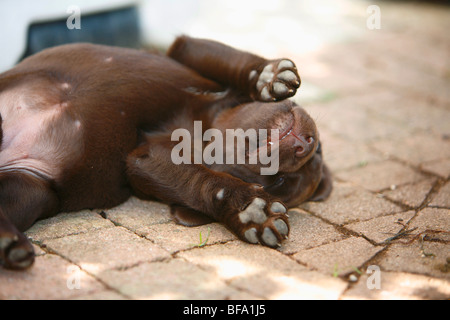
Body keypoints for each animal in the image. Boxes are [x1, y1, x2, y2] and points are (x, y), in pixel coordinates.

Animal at [0, 35, 330, 270]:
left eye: (279, 181)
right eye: (319, 151)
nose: (306, 144)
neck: (203, 126)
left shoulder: (144, 158)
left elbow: (201, 180)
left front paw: (250, 214)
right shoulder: (183, 50)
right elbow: (224, 58)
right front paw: (268, 76)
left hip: (33, 190)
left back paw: (9, 243)